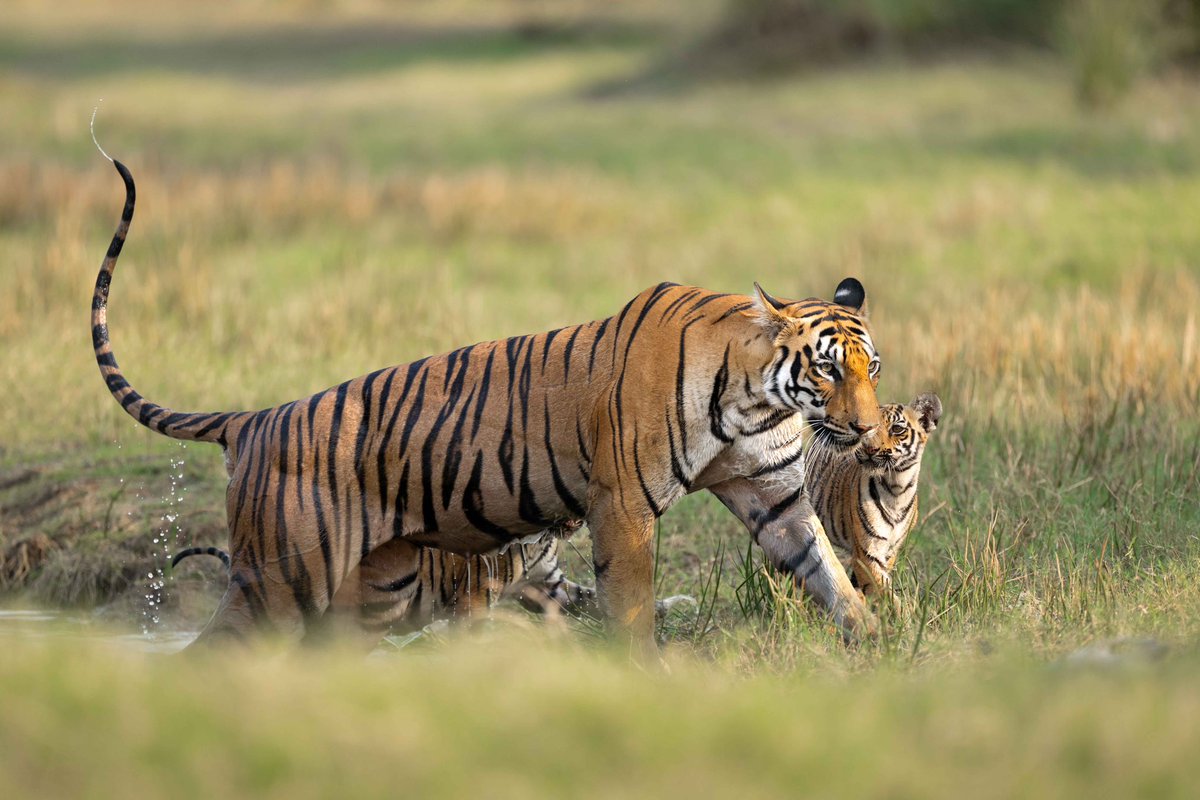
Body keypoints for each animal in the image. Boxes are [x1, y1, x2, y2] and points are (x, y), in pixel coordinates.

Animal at [92, 157, 885, 656]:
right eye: (827, 370)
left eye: (871, 369)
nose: (869, 430)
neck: (757, 398)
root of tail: (253, 417)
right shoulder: (623, 503)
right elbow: (630, 605)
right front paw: (644, 674)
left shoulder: (772, 494)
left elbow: (829, 573)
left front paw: (879, 644)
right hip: (282, 578)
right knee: (210, 652)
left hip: (370, 588)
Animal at [805, 393, 942, 604]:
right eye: (868, 428)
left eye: (897, 429)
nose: (870, 449)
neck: (896, 488)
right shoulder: (867, 551)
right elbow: (883, 587)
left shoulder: (890, 551)